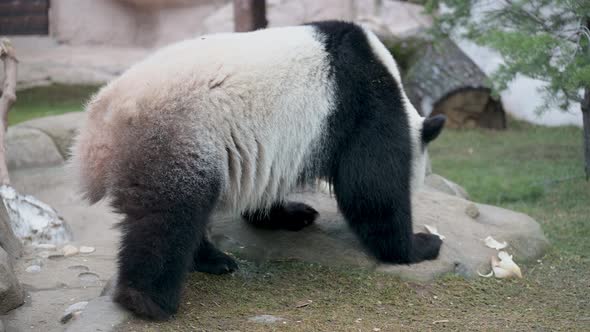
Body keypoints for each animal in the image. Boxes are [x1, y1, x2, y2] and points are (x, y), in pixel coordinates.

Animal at [70, 20, 444, 320]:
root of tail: (101, 124)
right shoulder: (364, 106)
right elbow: (372, 188)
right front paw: (421, 244)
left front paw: (292, 214)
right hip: (176, 138)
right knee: (169, 217)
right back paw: (149, 301)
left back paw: (212, 260)